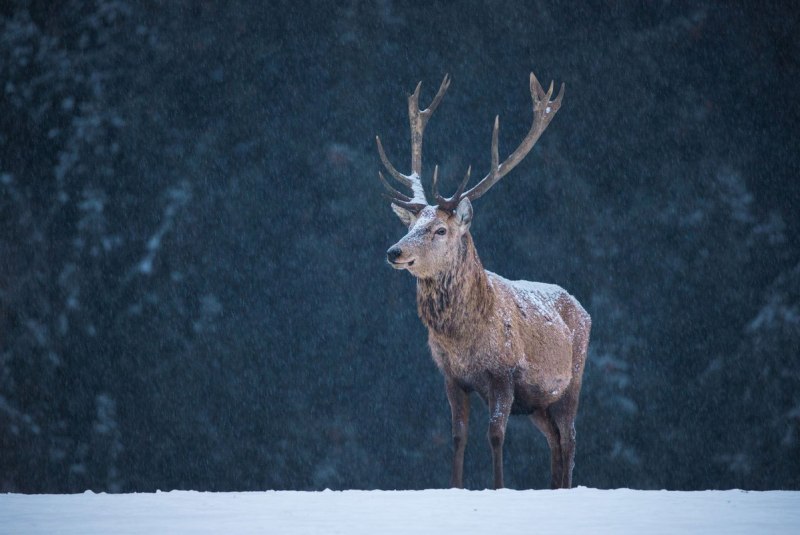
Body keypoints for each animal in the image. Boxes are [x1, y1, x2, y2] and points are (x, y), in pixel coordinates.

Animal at [377, 73, 591, 490]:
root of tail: (582, 307)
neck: (462, 340)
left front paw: (498, 486)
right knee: (555, 441)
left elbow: (495, 434)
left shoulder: (503, 373)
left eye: (440, 229)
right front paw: (456, 486)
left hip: (571, 380)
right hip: (538, 403)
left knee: (571, 438)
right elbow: (458, 435)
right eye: (411, 225)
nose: (394, 251)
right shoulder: (451, 376)